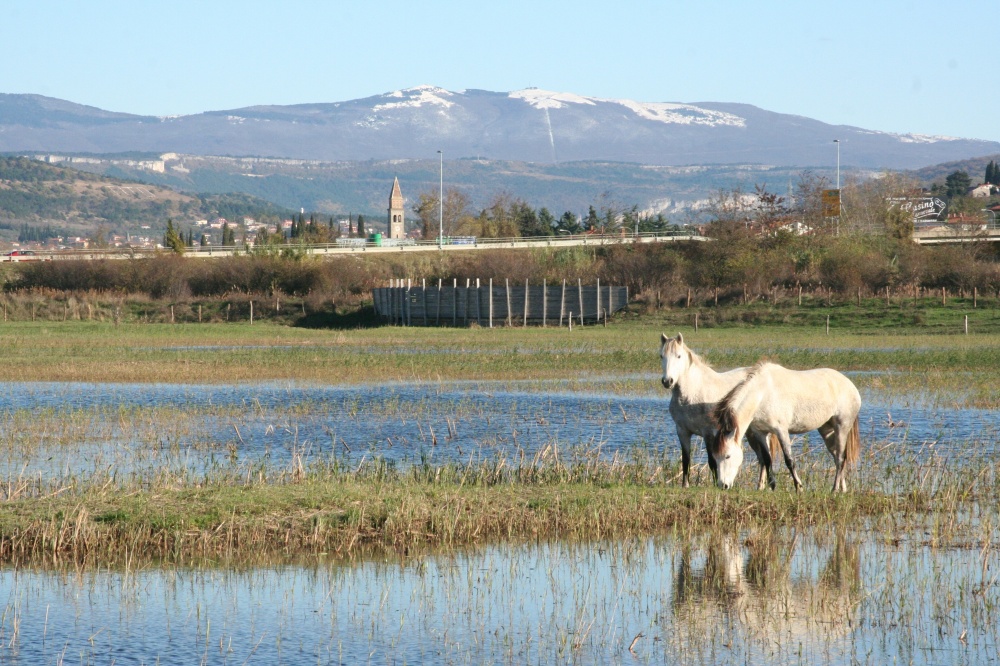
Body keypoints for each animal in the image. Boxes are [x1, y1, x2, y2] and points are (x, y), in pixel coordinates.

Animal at [660, 332, 776, 488]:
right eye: (661, 356)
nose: (667, 381)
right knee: (762, 458)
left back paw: (761, 486)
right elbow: (686, 461)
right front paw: (685, 486)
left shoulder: (708, 433)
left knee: (765, 456)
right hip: (749, 432)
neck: (692, 393)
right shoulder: (682, 431)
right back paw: (760, 487)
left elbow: (712, 462)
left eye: (678, 356)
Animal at [708, 360, 864, 490]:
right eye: (715, 456)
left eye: (727, 456)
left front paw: (799, 488)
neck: (762, 394)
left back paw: (834, 489)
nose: (723, 485)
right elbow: (767, 459)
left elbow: (789, 460)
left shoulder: (781, 431)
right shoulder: (760, 433)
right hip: (826, 429)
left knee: (841, 458)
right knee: (837, 456)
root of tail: (849, 384)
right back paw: (842, 490)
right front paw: (772, 486)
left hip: (842, 427)